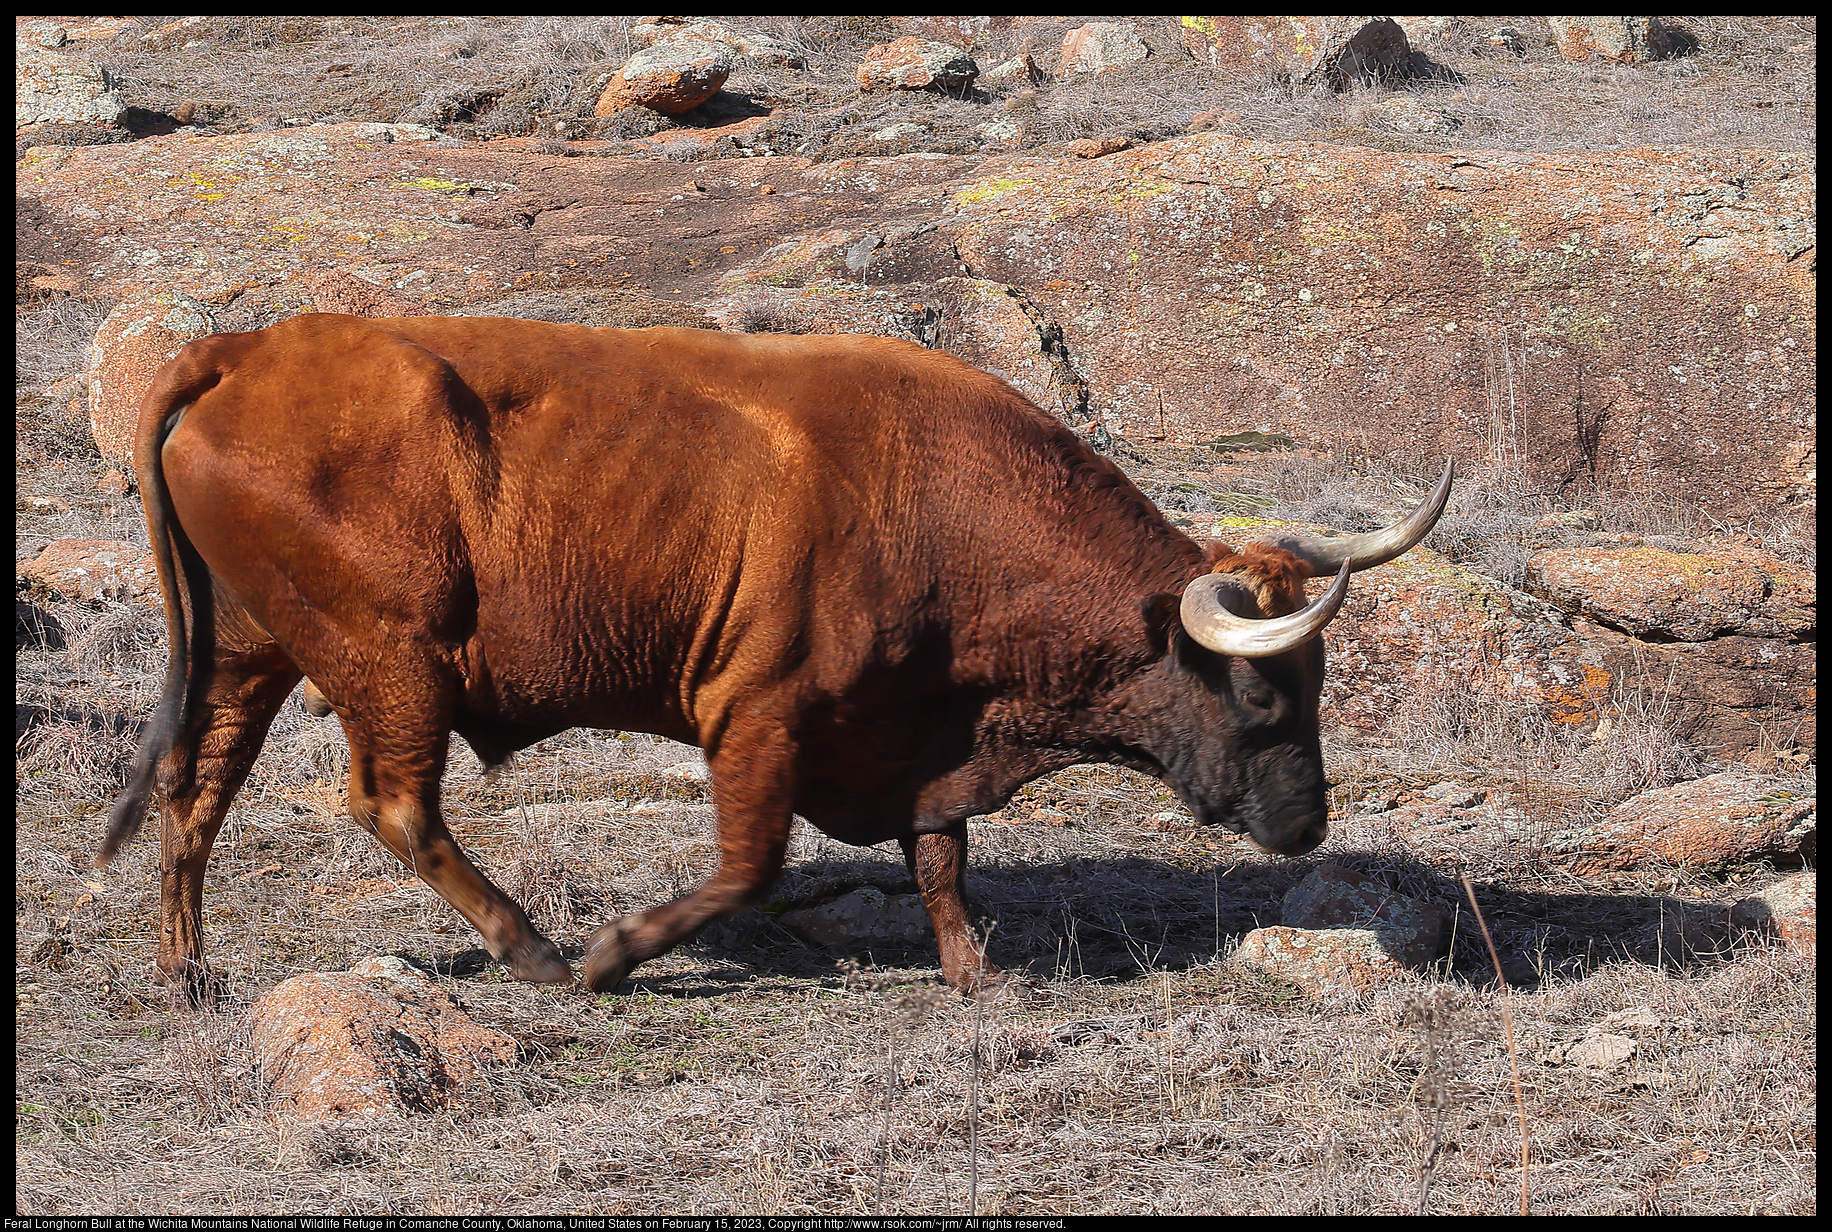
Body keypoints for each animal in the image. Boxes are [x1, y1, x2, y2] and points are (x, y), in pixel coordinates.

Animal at [100, 313, 1450, 997]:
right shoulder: (755, 720)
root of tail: (245, 350)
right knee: (391, 802)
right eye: (1263, 684)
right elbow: (748, 869)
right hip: (394, 664)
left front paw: (975, 973)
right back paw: (535, 948)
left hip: (249, 657)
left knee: (194, 789)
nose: (1307, 823)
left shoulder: (919, 741)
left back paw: (187, 970)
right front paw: (612, 951)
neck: (940, 495)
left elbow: (940, 857)